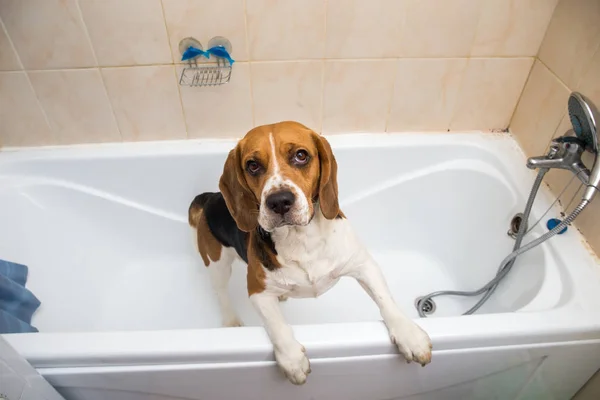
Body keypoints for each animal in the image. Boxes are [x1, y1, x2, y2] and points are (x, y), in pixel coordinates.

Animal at [188, 121, 432, 384]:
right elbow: (277, 325)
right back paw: (231, 322)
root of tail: (211, 197)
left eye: (301, 155)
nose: (279, 201)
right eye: (252, 165)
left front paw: (409, 335)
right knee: (221, 293)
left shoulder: (363, 265)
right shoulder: (257, 291)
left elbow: (386, 301)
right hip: (217, 263)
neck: (300, 238)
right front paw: (292, 359)